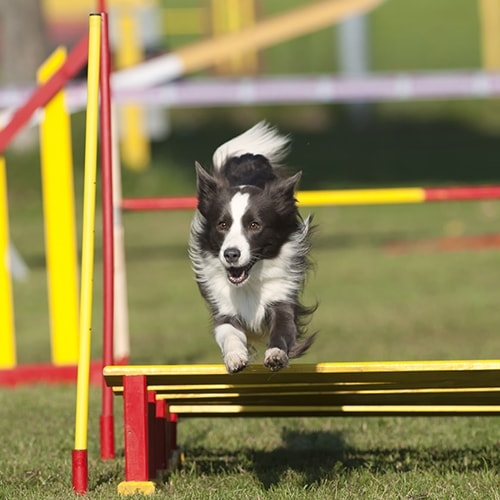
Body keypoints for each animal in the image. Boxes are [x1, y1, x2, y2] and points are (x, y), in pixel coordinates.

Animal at [189, 121, 314, 372]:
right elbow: (228, 332)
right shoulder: (224, 306)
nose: (231, 254)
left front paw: (276, 355)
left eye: (254, 225)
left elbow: (282, 330)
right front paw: (235, 357)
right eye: (222, 224)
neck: (249, 283)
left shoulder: (281, 297)